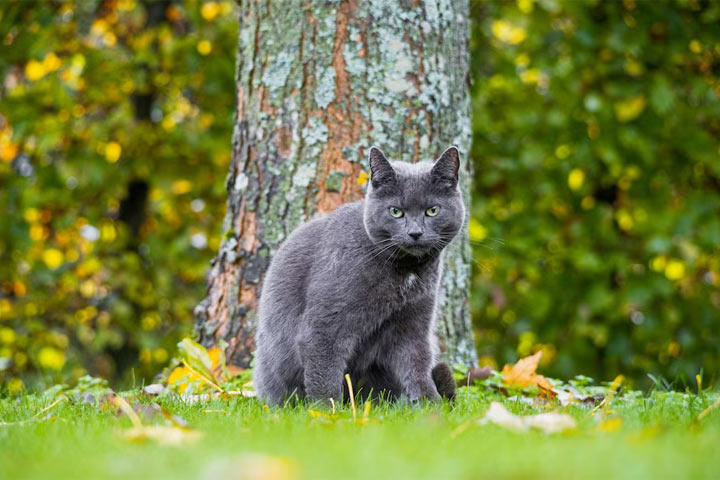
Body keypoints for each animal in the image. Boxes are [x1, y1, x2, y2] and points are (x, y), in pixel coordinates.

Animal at [256, 145, 464, 404]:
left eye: (432, 210)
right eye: (396, 211)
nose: (415, 233)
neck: (406, 272)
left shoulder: (414, 321)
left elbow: (417, 364)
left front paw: (431, 405)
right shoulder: (325, 322)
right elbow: (324, 368)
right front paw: (325, 409)